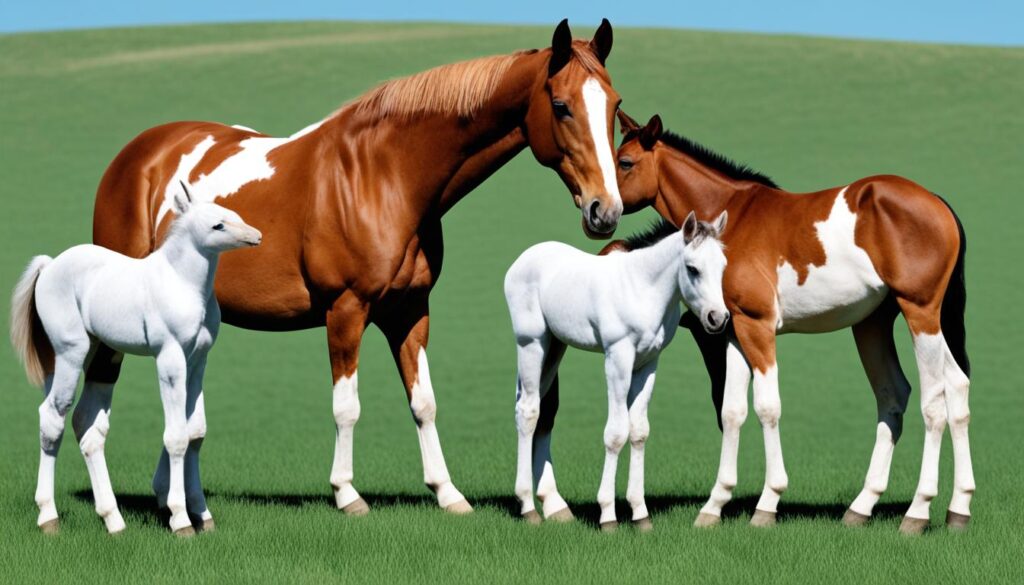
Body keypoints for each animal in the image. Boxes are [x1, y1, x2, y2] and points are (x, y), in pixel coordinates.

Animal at [10, 183, 261, 535]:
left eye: (234, 214)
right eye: (218, 225)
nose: (257, 236)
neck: (182, 284)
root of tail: (48, 267)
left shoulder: (198, 362)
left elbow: (195, 433)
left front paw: (203, 514)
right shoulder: (170, 359)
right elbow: (177, 437)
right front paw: (181, 519)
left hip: (89, 355)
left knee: (86, 426)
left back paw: (113, 519)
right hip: (70, 354)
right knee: (52, 418)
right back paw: (49, 517)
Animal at [88, 20, 623, 520]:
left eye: (615, 106)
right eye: (561, 105)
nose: (606, 210)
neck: (385, 177)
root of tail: (137, 157)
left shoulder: (409, 311)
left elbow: (424, 402)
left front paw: (447, 493)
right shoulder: (346, 310)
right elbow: (347, 407)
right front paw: (347, 494)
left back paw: (167, 496)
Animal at [504, 211, 729, 531]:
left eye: (722, 266)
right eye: (693, 269)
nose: (717, 318)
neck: (642, 288)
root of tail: (520, 262)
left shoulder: (648, 363)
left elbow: (639, 431)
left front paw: (640, 514)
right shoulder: (617, 358)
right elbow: (615, 433)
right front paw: (608, 515)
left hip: (555, 347)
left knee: (539, 409)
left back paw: (554, 507)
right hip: (532, 344)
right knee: (528, 412)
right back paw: (528, 508)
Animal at [608, 112, 972, 534]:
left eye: (625, 162)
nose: (598, 211)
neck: (733, 216)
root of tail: (938, 203)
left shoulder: (757, 326)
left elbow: (767, 408)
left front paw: (767, 503)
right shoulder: (736, 332)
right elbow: (733, 411)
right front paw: (714, 505)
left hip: (921, 314)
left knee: (935, 403)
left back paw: (918, 511)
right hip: (876, 324)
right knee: (935, 391)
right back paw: (938, 508)